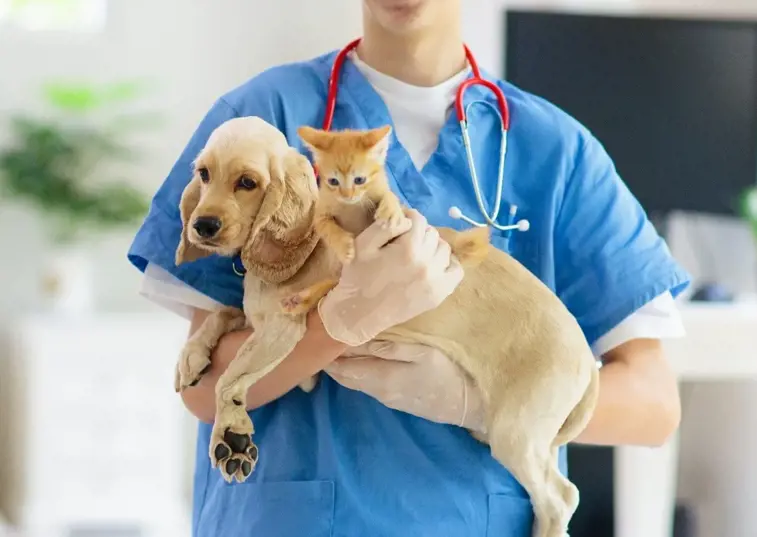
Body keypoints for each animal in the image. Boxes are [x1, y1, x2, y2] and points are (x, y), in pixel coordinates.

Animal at [280, 124, 488, 314]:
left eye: (359, 180)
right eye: (333, 181)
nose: (347, 195)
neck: (352, 206)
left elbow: (390, 197)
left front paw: (390, 209)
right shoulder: (321, 214)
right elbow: (328, 227)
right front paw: (343, 246)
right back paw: (299, 300)